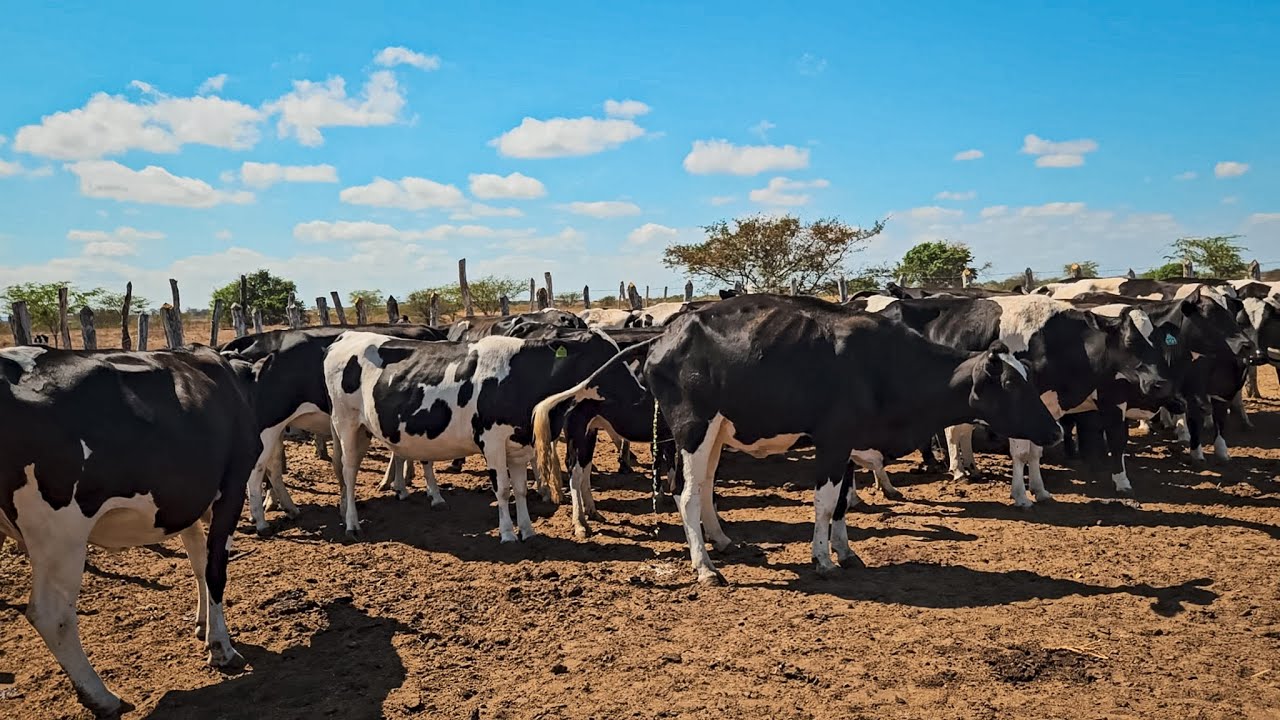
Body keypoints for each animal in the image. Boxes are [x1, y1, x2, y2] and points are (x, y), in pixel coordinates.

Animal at [0, 344, 259, 717]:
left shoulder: (186, 501)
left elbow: (197, 563)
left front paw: (201, 623)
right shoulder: (232, 487)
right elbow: (214, 571)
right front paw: (221, 647)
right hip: (61, 535)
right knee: (52, 616)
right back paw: (102, 697)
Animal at [222, 324, 447, 535]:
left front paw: (400, 486)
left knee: (272, 466)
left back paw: (285, 508)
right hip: (271, 427)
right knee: (262, 468)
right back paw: (264, 516)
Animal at [323, 328, 622, 540]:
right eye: (605, 359)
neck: (519, 376)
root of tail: (346, 336)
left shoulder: (518, 444)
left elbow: (521, 490)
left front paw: (527, 531)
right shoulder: (492, 441)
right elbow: (502, 489)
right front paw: (508, 534)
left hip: (363, 430)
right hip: (346, 424)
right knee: (349, 472)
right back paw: (352, 524)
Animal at [543, 294, 1060, 584]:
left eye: (1027, 379)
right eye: (1010, 385)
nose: (1055, 431)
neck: (880, 365)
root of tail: (664, 336)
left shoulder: (848, 445)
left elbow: (843, 504)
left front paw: (845, 552)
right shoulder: (831, 441)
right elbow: (824, 503)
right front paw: (822, 558)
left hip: (716, 432)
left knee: (705, 489)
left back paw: (722, 542)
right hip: (692, 429)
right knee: (685, 493)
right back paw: (705, 567)